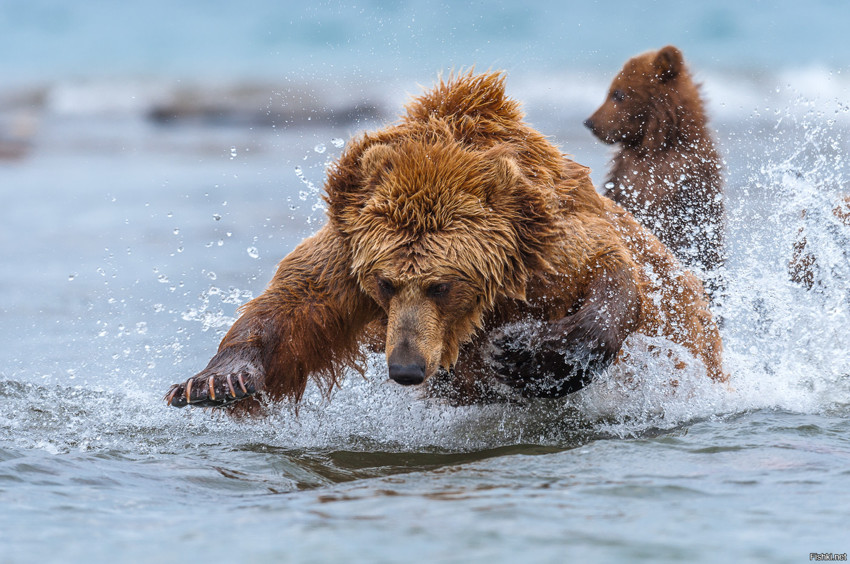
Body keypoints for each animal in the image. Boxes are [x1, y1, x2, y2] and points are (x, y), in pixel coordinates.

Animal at [164, 71, 724, 414]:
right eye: (386, 284)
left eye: (441, 285)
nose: (407, 368)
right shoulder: (350, 251)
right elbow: (295, 303)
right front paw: (214, 382)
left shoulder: (544, 243)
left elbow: (608, 273)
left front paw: (523, 356)